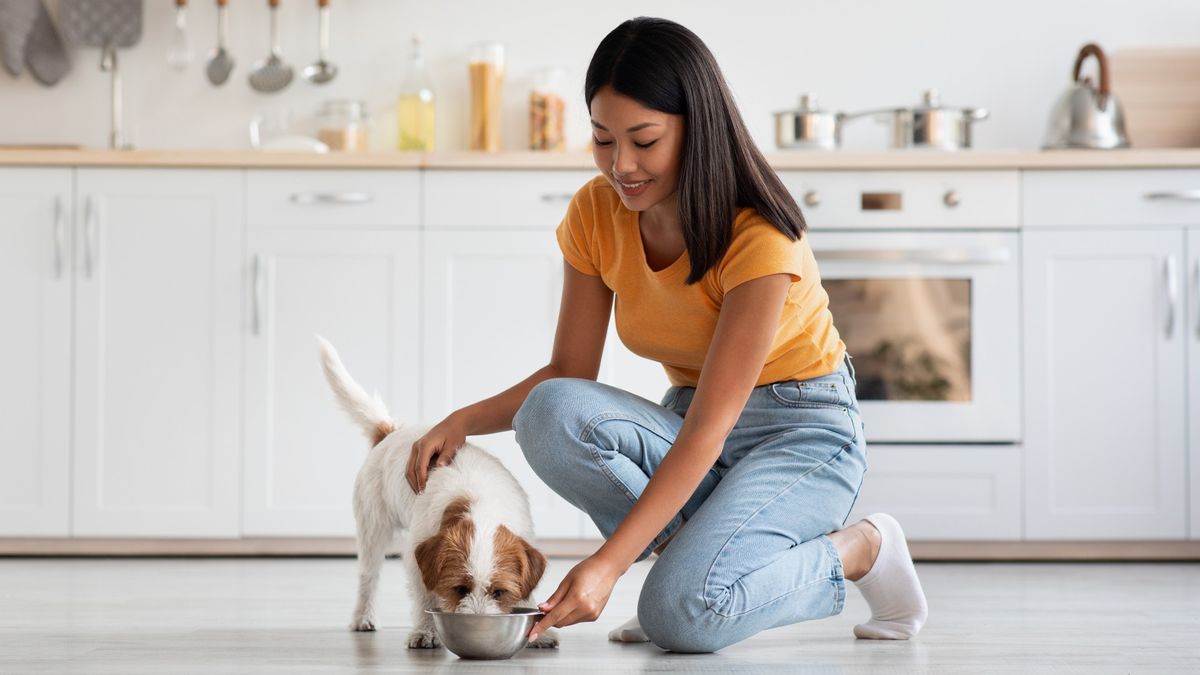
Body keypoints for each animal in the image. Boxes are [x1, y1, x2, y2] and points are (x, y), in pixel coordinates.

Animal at [314, 336, 556, 648]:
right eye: (460, 588)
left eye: (499, 592)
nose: (479, 623)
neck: (481, 505)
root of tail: (390, 432)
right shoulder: (417, 557)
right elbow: (425, 598)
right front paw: (426, 631)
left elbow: (527, 591)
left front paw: (540, 632)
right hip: (372, 529)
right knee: (368, 576)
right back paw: (363, 617)